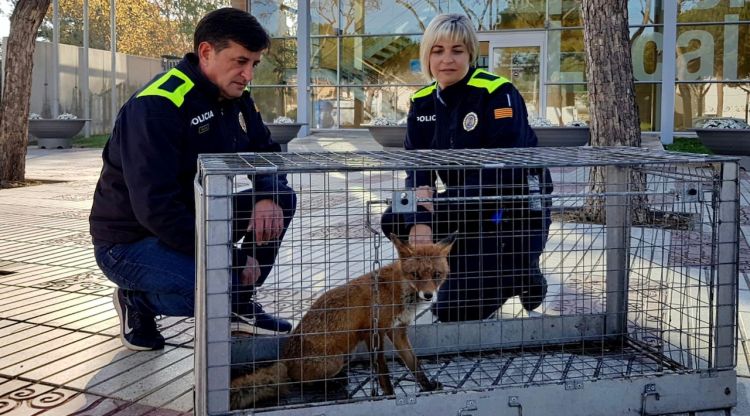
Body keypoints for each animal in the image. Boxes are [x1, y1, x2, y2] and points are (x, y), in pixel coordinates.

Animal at [231, 232, 458, 412]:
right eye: (415, 274)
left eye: (436, 275)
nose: (428, 296)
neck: (398, 292)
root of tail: (285, 359)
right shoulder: (373, 331)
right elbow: (383, 371)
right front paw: (389, 395)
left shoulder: (398, 330)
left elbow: (414, 364)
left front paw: (427, 387)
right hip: (335, 359)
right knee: (300, 381)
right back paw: (330, 382)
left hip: (348, 353)